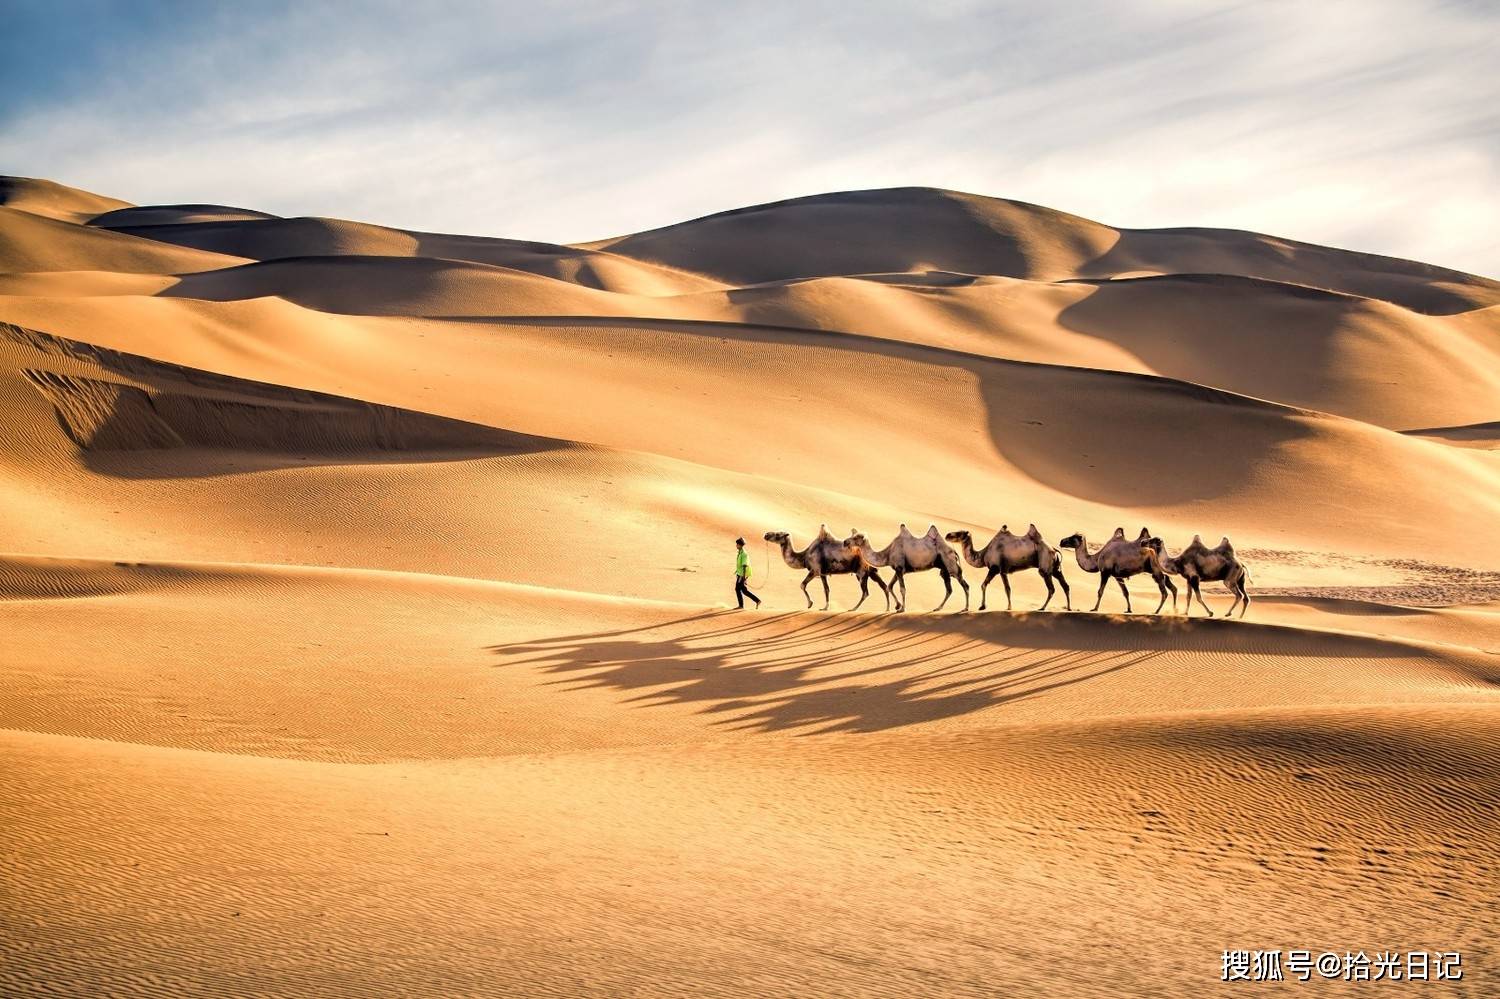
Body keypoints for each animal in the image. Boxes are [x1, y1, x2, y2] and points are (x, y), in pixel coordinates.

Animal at [942, 522, 1074, 606]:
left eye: (959, 533)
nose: (947, 535)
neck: (983, 554)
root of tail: (1054, 550)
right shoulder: (1003, 571)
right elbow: (1008, 589)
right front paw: (1009, 608)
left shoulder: (994, 568)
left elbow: (983, 585)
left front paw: (983, 606)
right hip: (1055, 568)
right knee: (1065, 585)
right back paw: (1068, 608)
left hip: (1045, 567)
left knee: (1051, 588)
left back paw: (1042, 608)